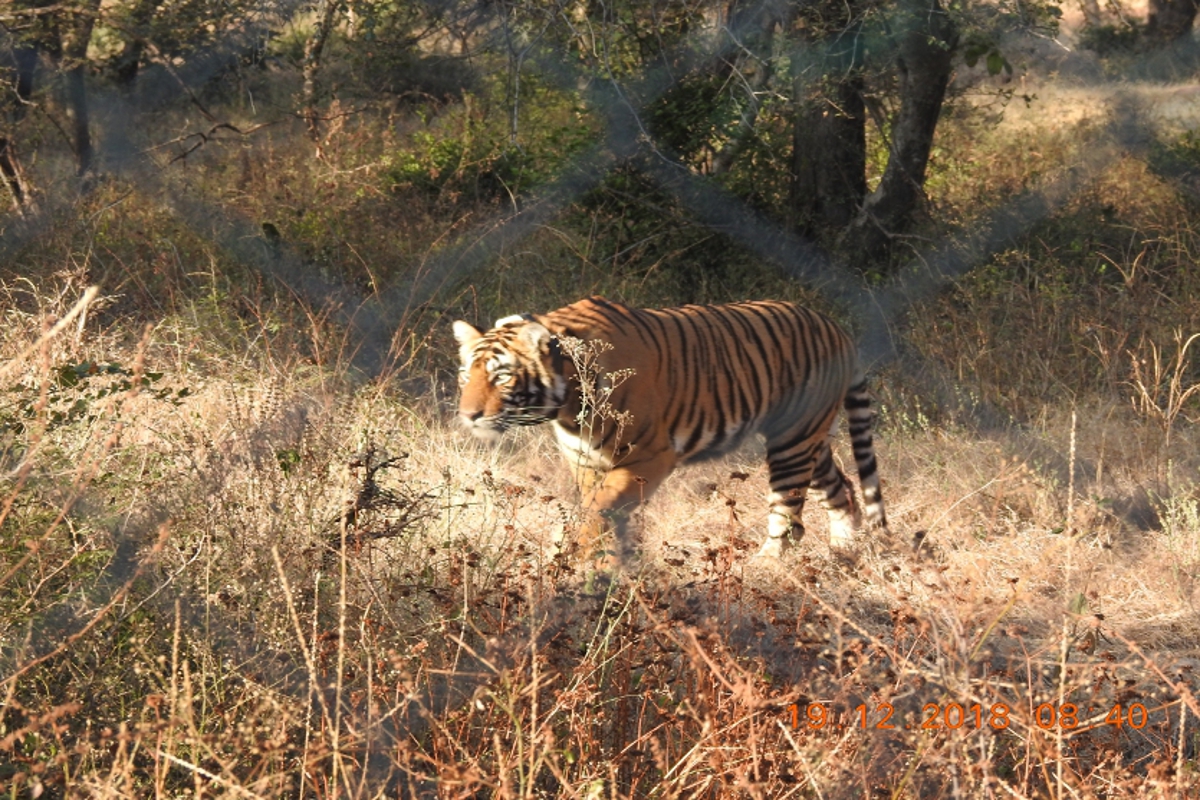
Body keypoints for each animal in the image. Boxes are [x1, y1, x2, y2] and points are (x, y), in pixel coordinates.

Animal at [453, 297, 888, 566]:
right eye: (466, 374)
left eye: (502, 376)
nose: (467, 415)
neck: (567, 406)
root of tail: (836, 329)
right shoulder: (586, 460)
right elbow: (600, 508)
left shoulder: (649, 455)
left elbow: (599, 508)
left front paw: (577, 557)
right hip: (810, 438)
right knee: (844, 489)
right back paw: (843, 553)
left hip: (793, 443)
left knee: (789, 512)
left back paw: (766, 567)